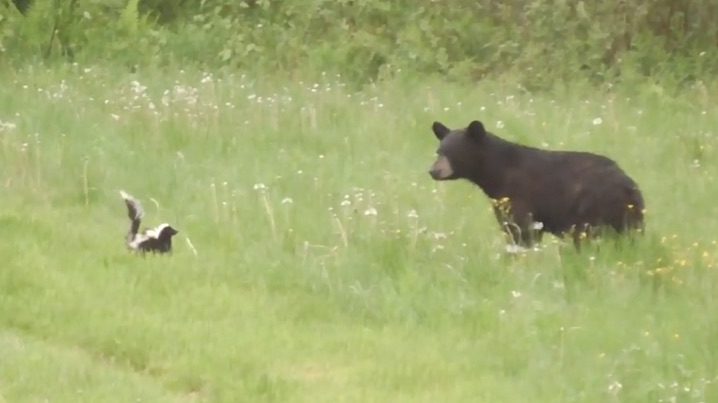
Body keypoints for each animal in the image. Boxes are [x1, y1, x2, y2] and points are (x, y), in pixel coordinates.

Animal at [428, 120, 645, 249]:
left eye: (454, 152)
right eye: (439, 151)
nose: (433, 171)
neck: (497, 172)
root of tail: (629, 185)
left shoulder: (519, 196)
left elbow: (521, 230)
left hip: (592, 210)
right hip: (627, 217)